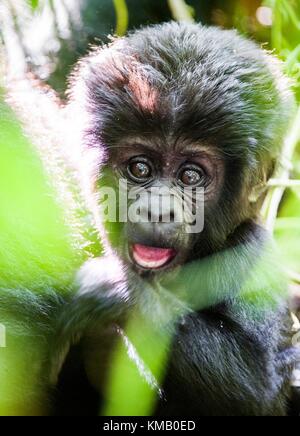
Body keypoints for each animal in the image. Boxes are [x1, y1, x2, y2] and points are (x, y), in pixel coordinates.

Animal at [51, 23, 300, 416]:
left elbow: (258, 384)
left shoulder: (251, 251)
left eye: (190, 176)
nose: (157, 210)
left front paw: (117, 291)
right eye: (140, 168)